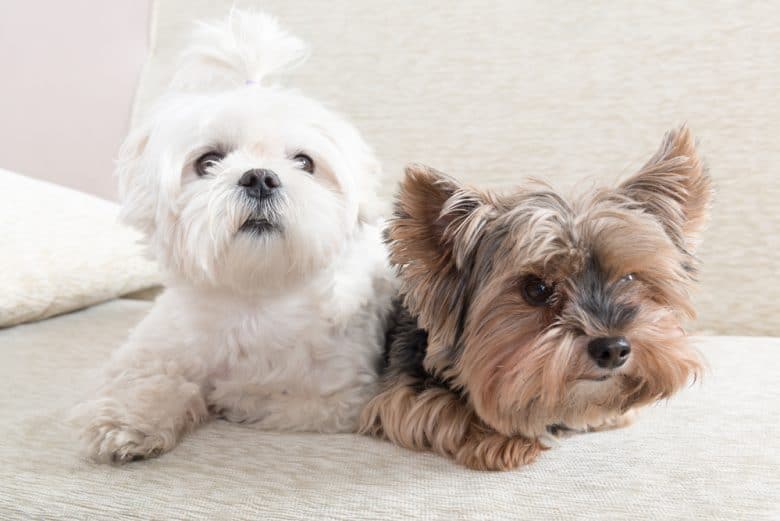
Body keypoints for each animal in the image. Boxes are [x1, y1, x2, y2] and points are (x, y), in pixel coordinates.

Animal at [73, 10, 394, 462]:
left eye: (304, 162)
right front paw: (125, 423)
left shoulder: (335, 397)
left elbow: (260, 395)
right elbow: (144, 379)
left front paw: (227, 396)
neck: (251, 299)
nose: (260, 178)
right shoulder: (148, 350)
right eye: (208, 160)